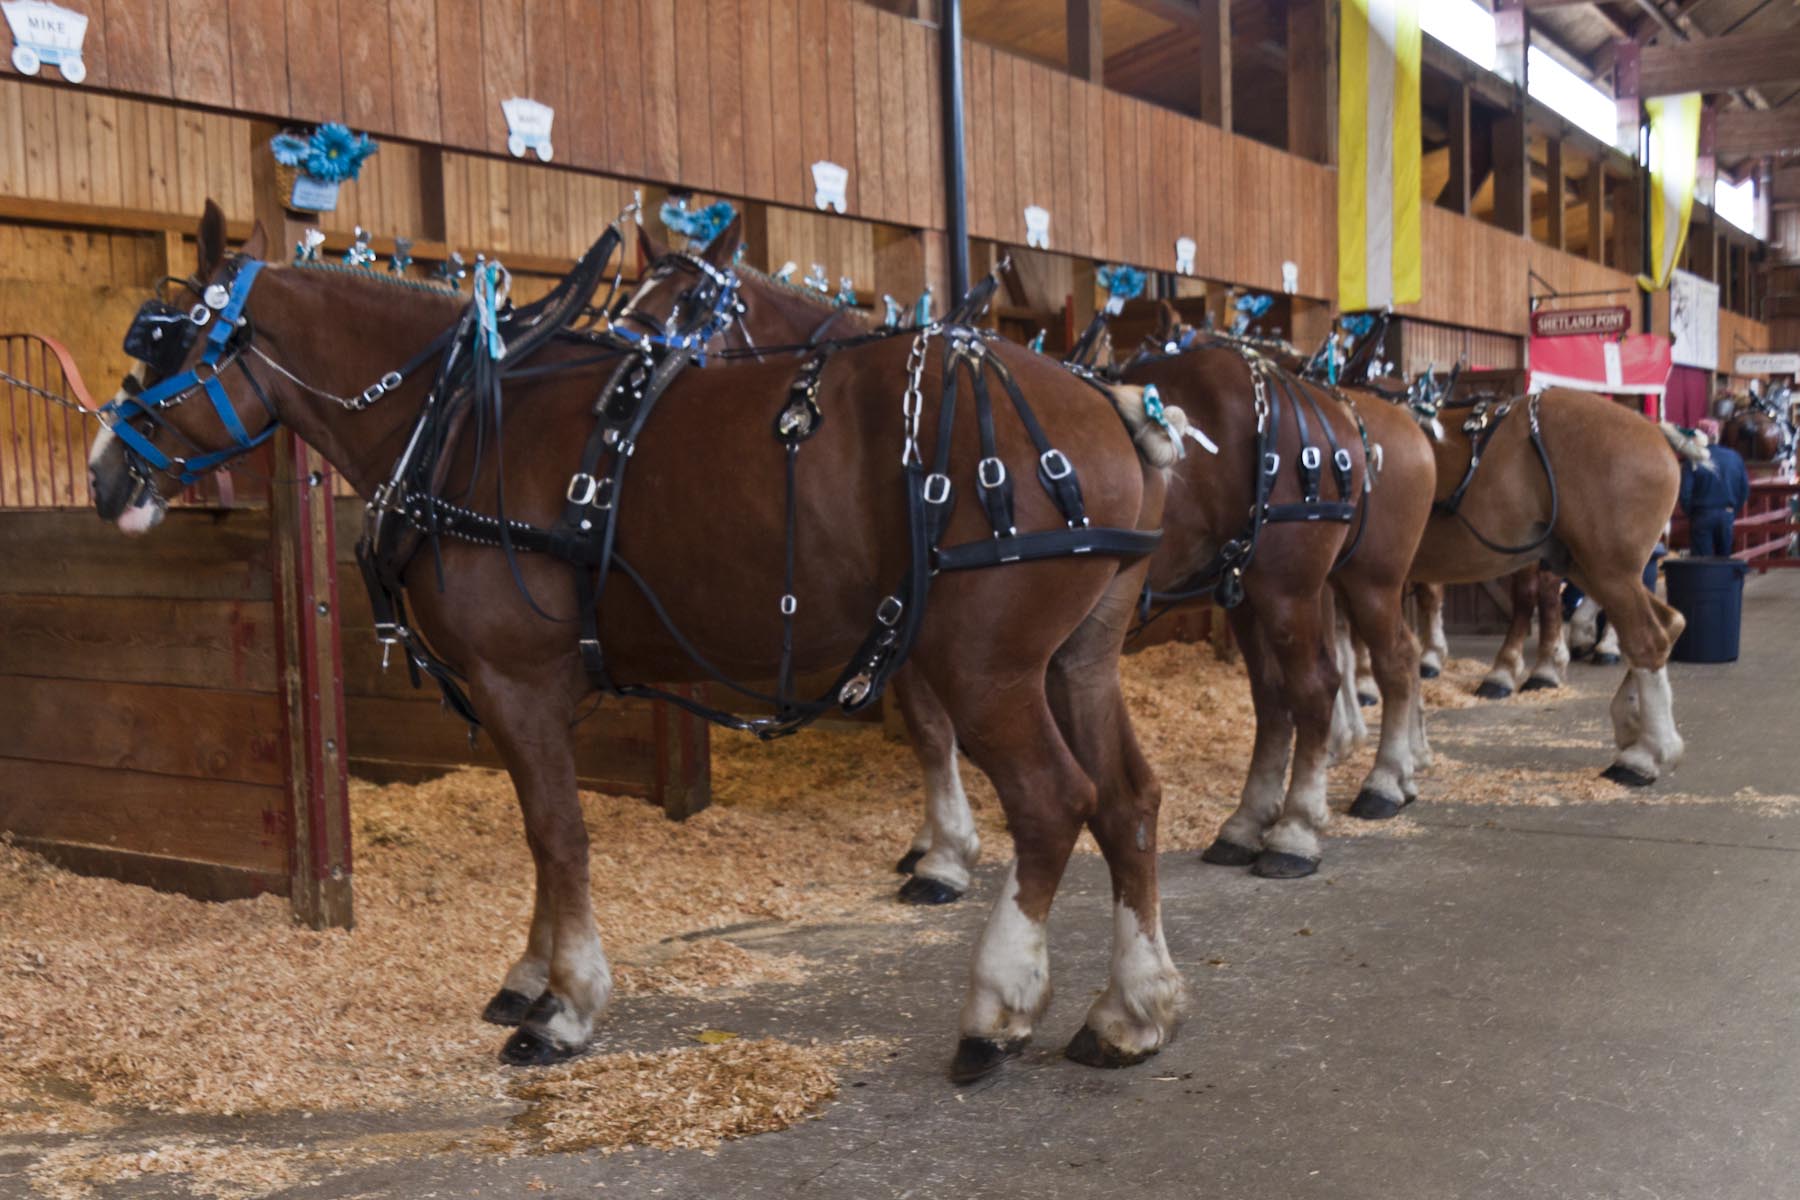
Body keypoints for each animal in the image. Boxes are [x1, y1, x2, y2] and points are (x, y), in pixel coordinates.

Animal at [89, 202, 1190, 1082]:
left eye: (164, 345)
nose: (102, 477)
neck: (458, 424)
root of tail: (1106, 404)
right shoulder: (541, 692)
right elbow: (544, 837)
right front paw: (530, 975)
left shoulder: (517, 680)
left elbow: (558, 835)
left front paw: (565, 1006)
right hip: (1075, 660)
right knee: (1128, 801)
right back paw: (1131, 1010)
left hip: (987, 666)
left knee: (1052, 803)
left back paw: (996, 1011)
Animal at [632, 235, 1436, 884]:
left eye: (689, 304)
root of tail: (1335, 411)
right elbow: (931, 733)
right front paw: (936, 845)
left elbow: (939, 733)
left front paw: (945, 856)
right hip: (1251, 587)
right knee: (1280, 699)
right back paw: (1253, 821)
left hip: (1314, 583)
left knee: (1349, 675)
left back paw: (1324, 815)